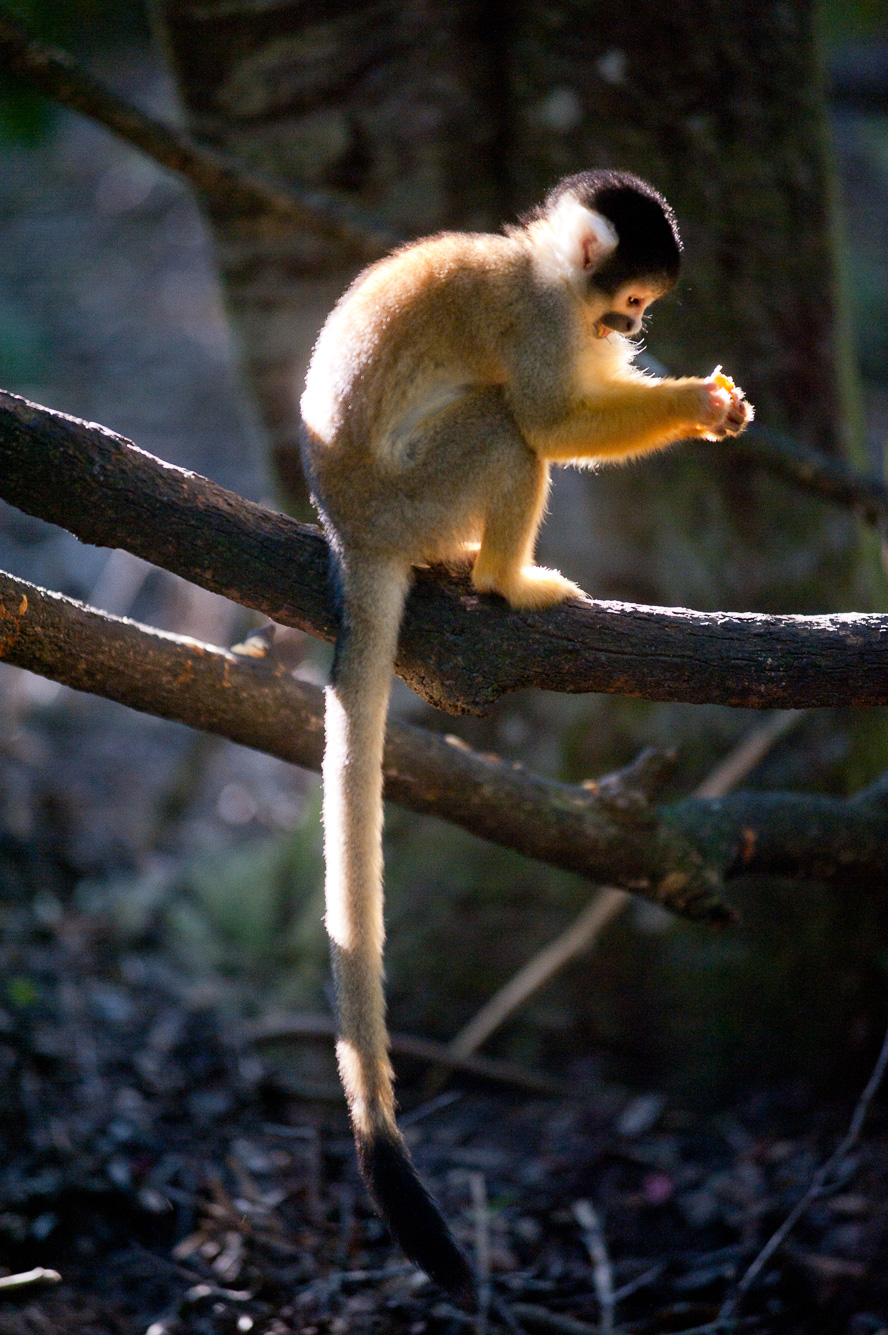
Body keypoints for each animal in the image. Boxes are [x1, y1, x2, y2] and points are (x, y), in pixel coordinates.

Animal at [301, 169, 753, 1302]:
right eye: (625, 301)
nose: (629, 326)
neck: (543, 264)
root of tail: (350, 531)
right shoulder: (540, 315)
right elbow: (550, 418)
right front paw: (694, 404)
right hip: (418, 497)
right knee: (504, 428)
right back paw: (506, 581)